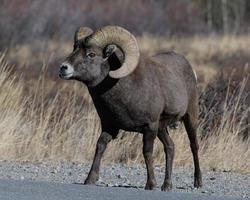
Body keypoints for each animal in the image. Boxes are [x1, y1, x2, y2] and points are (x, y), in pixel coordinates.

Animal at [59, 25, 203, 190]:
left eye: (91, 54)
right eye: (74, 48)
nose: (63, 68)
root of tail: (190, 69)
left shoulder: (149, 127)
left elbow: (147, 152)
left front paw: (150, 184)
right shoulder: (109, 126)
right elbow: (100, 146)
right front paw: (90, 179)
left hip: (190, 118)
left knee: (194, 146)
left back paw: (198, 182)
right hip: (162, 128)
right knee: (170, 147)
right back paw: (167, 185)